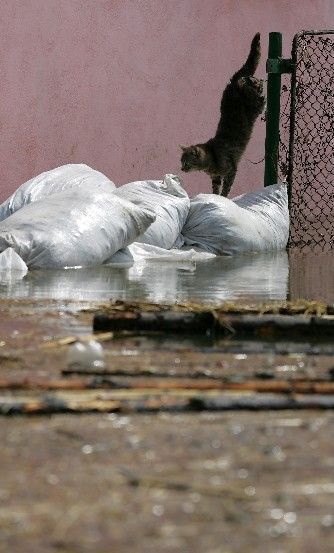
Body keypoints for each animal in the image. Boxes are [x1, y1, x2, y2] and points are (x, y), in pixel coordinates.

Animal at [180, 33, 266, 196]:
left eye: (186, 162)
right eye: (181, 162)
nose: (181, 169)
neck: (211, 158)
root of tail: (234, 81)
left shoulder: (231, 170)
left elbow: (227, 188)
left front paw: (224, 197)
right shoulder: (216, 177)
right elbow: (215, 189)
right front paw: (214, 196)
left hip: (254, 106)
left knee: (259, 93)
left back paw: (255, 82)